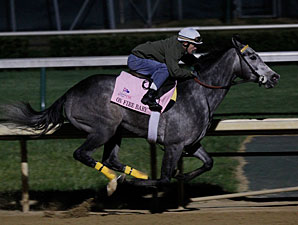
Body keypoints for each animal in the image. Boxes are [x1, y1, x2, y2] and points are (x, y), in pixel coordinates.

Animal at [0, 37, 280, 192]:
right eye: (252, 56)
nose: (275, 77)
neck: (199, 92)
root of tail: (70, 92)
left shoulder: (190, 144)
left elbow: (208, 163)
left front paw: (181, 176)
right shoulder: (174, 145)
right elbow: (165, 179)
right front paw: (138, 183)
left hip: (117, 131)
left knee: (111, 158)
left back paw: (132, 174)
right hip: (103, 129)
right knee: (82, 154)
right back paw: (116, 181)